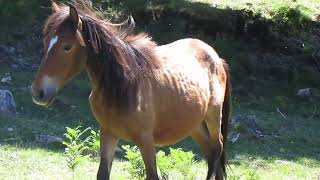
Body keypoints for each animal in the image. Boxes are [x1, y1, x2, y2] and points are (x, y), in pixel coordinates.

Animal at [30, 1, 230, 180]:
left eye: (67, 46)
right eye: (45, 42)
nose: (38, 92)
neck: (124, 87)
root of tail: (216, 57)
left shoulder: (146, 140)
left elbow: (152, 175)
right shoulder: (108, 134)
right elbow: (102, 174)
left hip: (213, 115)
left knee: (217, 148)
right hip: (195, 124)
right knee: (211, 152)